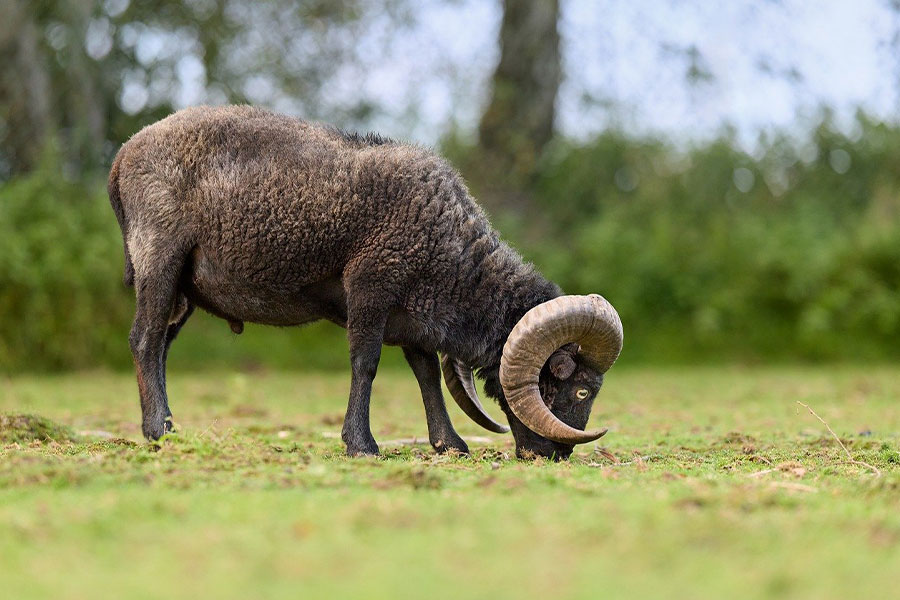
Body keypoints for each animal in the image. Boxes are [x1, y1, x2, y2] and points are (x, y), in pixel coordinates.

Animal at [108, 105, 623, 459]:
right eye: (583, 390)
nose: (556, 454)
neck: (453, 254)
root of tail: (123, 156)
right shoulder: (371, 285)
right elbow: (366, 363)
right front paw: (361, 444)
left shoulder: (413, 312)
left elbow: (426, 373)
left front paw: (449, 443)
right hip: (159, 256)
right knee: (144, 340)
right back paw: (157, 431)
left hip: (184, 289)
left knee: (160, 346)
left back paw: (166, 424)